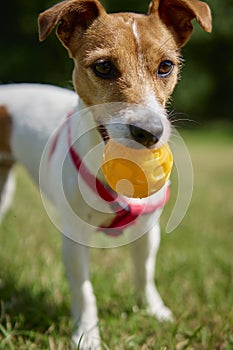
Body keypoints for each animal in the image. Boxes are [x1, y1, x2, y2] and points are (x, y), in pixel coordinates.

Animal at [0, 1, 211, 348]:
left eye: (166, 66)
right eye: (103, 67)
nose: (149, 132)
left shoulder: (148, 229)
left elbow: (144, 272)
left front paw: (154, 311)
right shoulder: (74, 237)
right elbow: (84, 291)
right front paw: (87, 335)